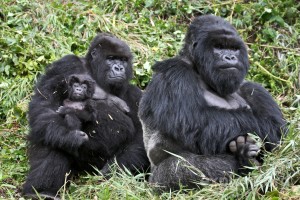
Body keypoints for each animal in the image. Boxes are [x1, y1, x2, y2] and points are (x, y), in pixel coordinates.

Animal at [22, 33, 149, 198]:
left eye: (123, 60)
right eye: (111, 58)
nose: (119, 68)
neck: (93, 72)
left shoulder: (136, 95)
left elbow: (142, 135)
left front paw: (114, 169)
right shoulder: (65, 65)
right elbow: (45, 103)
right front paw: (67, 136)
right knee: (51, 134)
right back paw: (41, 192)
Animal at [138, 14, 286, 190]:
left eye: (234, 48)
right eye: (218, 47)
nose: (230, 57)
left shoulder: (254, 89)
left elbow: (279, 129)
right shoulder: (173, 71)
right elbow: (193, 120)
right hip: (156, 182)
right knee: (186, 168)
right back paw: (245, 160)